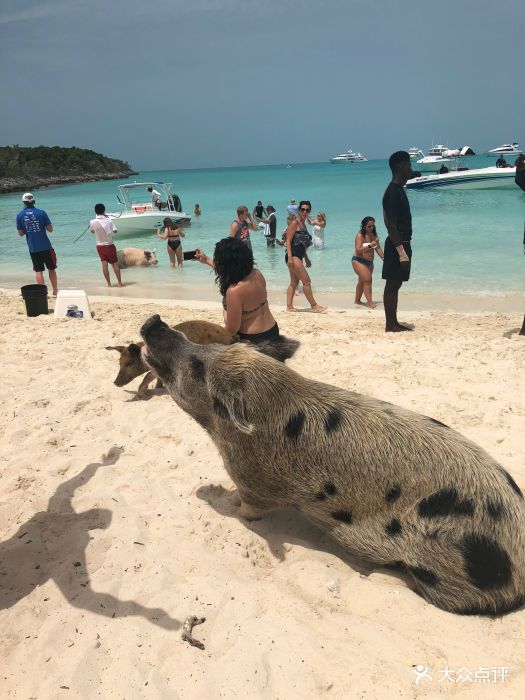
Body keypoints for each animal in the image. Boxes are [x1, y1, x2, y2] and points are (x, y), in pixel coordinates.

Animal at [140, 314, 524, 616]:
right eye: (209, 350)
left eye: (198, 367)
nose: (154, 320)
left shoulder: (253, 482)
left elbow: (247, 511)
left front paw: (224, 502)